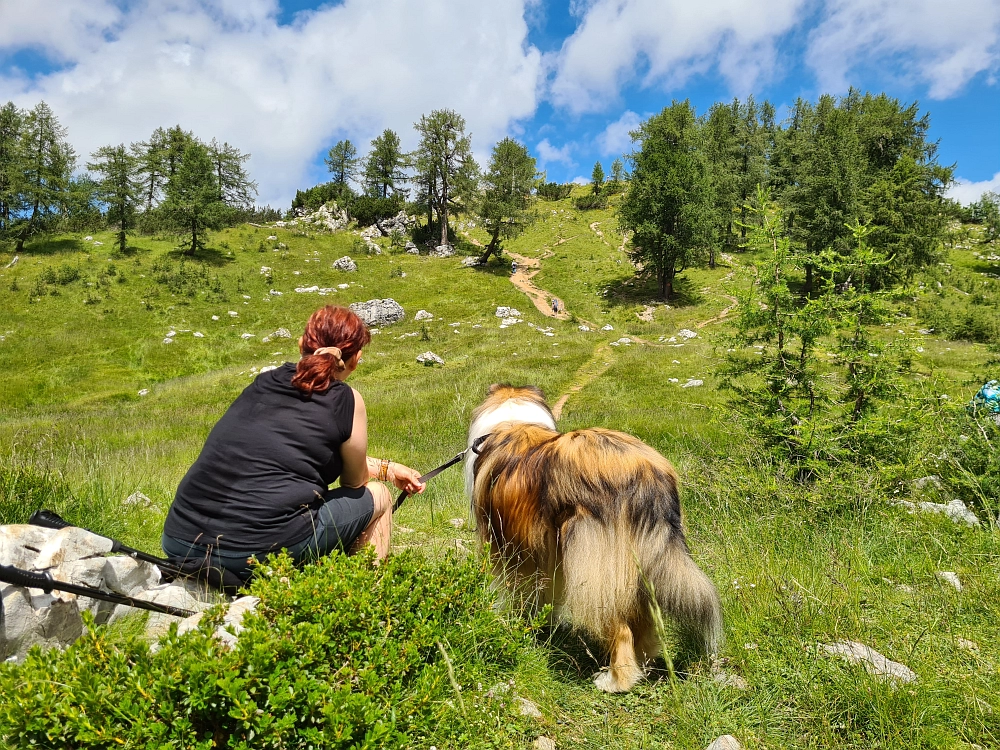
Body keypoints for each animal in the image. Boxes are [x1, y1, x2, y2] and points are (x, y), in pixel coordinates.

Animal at [464, 388, 724, 692]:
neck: (514, 421)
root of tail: (647, 473)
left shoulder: (505, 547)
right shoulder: (547, 555)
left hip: (595, 566)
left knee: (621, 628)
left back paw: (615, 680)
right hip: (639, 561)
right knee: (644, 620)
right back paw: (643, 664)